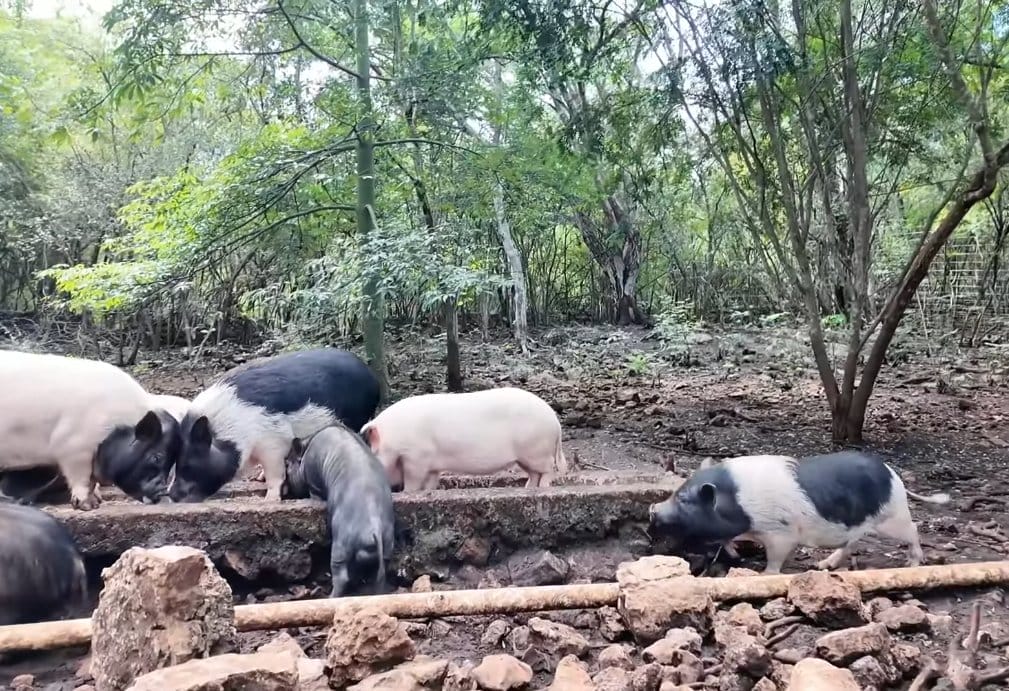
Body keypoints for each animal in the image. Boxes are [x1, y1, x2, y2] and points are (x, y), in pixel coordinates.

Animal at [0, 350, 182, 509]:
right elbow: (82, 478)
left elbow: (92, 481)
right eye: (157, 457)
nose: (162, 493)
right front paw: (86, 506)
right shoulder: (73, 447)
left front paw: (96, 503)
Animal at [170, 348, 381, 503]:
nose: (170, 494)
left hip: (358, 417)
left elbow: (275, 473)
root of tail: (372, 378)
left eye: (188, 464)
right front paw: (258, 479)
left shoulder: (274, 441)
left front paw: (269, 500)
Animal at [283, 424, 395, 597]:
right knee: (379, 574)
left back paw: (330, 596)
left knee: (342, 575)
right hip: (388, 546)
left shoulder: (313, 482)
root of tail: (375, 525)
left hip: (341, 544)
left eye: (288, 463)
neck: (308, 445)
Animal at [360, 386, 567, 491]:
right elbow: (430, 480)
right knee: (534, 473)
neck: (394, 440)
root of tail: (555, 420)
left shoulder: (417, 456)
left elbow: (413, 479)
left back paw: (542, 487)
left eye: (372, 454)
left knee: (550, 468)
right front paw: (427, 492)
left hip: (536, 450)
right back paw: (528, 488)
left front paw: (407, 493)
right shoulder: (431, 464)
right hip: (525, 456)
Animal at [648, 450, 950, 574]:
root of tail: (892, 474)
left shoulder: (781, 533)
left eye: (683, 498)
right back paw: (823, 565)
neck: (738, 500)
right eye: (677, 492)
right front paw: (734, 553)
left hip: (892, 517)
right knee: (851, 543)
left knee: (913, 530)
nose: (653, 509)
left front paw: (764, 574)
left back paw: (913, 564)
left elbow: (776, 557)